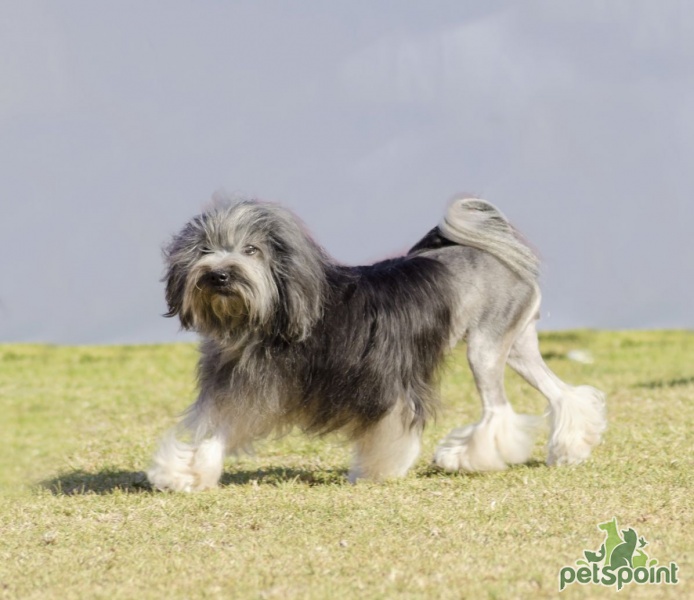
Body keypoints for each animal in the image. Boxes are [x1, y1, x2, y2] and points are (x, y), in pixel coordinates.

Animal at [148, 197, 608, 492]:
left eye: (251, 250)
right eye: (206, 249)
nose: (219, 275)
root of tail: (496, 252)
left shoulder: (386, 384)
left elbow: (390, 427)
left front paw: (379, 470)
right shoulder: (242, 386)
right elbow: (217, 431)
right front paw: (187, 474)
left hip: (486, 347)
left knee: (498, 410)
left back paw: (461, 457)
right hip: (516, 347)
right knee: (562, 393)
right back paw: (571, 447)